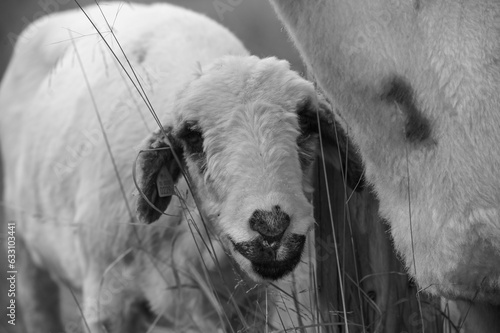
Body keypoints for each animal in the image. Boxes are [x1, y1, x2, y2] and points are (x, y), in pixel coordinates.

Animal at [0, 2, 360, 332]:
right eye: (192, 136)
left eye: (308, 123)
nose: (271, 227)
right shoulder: (107, 298)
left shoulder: (249, 305)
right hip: (28, 258)